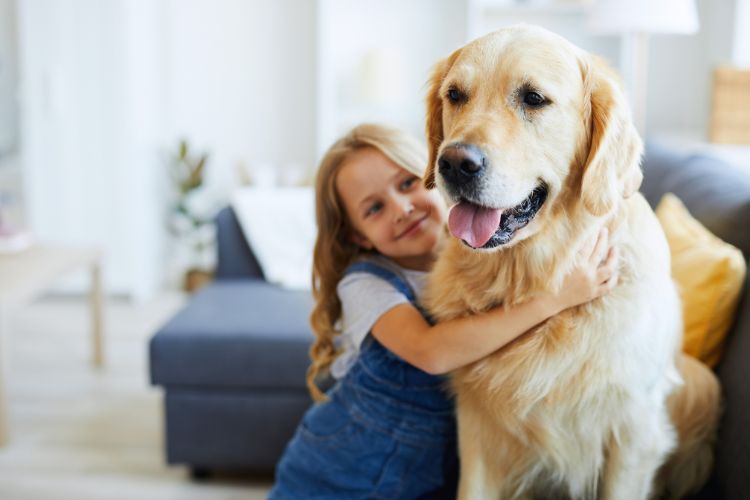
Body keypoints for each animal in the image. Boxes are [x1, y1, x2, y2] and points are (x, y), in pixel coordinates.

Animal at [424, 25, 724, 498]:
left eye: (533, 98)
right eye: (455, 95)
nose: (453, 163)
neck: (536, 274)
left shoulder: (634, 433)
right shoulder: (476, 427)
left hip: (702, 385)